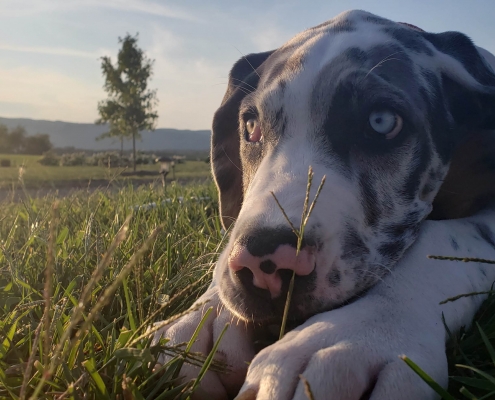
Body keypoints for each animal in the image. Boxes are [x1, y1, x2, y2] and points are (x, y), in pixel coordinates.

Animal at [152, 9, 495, 400]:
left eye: (382, 122)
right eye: (251, 126)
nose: (263, 261)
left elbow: (445, 241)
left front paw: (354, 333)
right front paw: (202, 317)